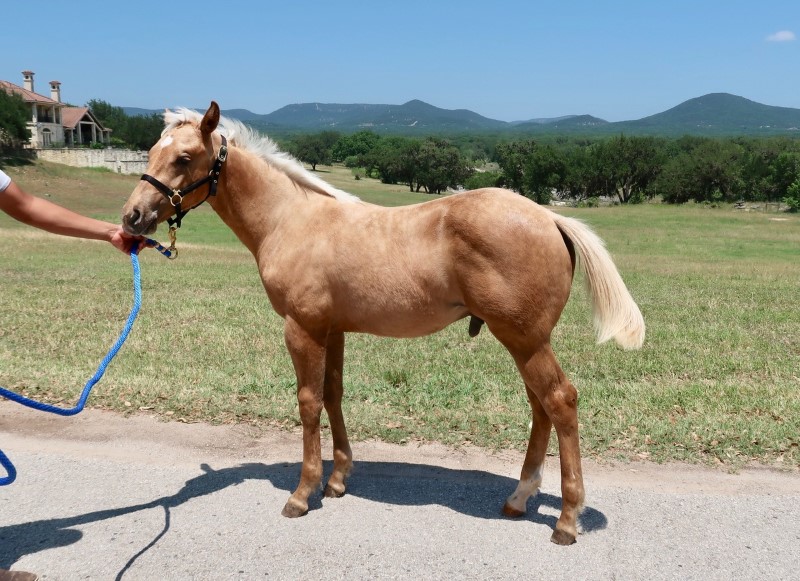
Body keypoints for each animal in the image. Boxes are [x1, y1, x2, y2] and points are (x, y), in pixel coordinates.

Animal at [122, 101, 644, 544]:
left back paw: (567, 520)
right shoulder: (332, 330)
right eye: (151, 152)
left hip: (524, 338)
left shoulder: (302, 329)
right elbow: (333, 395)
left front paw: (302, 493)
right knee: (541, 406)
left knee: (560, 401)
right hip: (525, 340)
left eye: (185, 157)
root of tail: (550, 218)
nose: (133, 217)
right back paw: (519, 498)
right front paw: (336, 480)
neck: (291, 219)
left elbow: (308, 402)